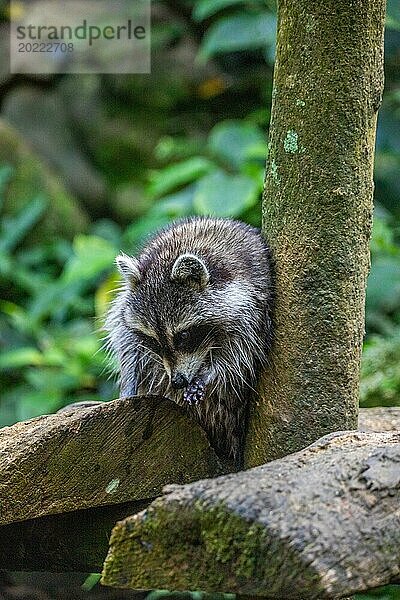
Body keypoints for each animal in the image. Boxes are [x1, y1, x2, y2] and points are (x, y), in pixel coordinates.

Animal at [105, 216, 276, 464]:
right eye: (154, 341)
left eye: (183, 336)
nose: (178, 381)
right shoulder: (125, 306)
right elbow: (127, 341)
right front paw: (129, 380)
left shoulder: (255, 307)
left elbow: (239, 355)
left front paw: (210, 374)